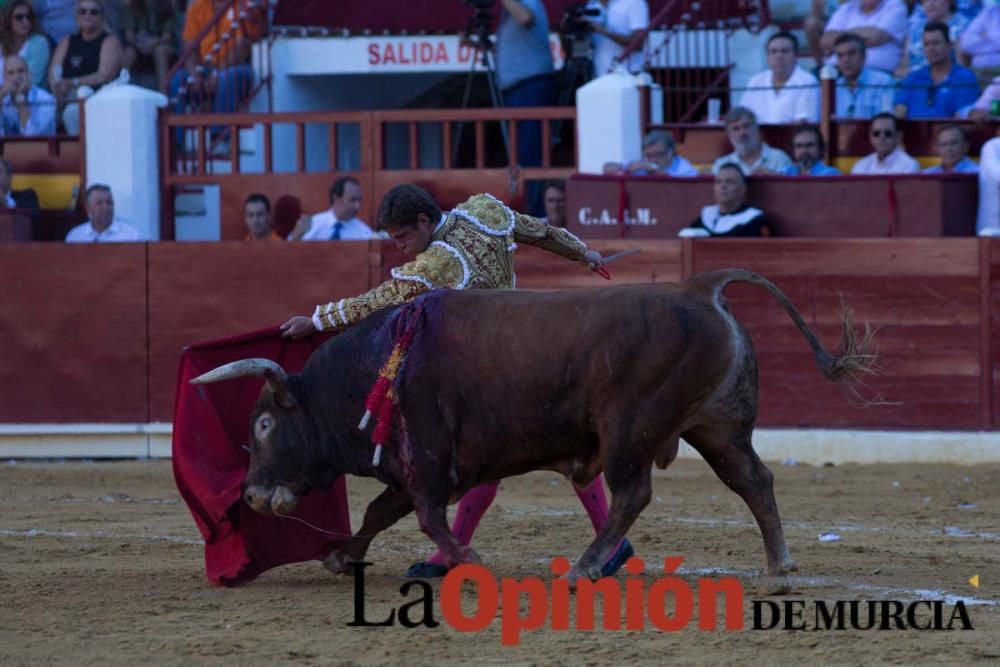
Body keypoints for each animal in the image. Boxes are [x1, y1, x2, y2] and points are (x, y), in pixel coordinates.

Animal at [189, 270, 876, 584]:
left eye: (264, 423)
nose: (251, 495)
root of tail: (699, 287)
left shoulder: (428, 460)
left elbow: (425, 515)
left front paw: (466, 561)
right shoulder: (418, 467)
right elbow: (382, 511)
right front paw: (342, 555)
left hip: (628, 428)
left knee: (632, 493)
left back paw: (586, 568)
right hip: (718, 427)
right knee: (753, 480)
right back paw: (780, 566)